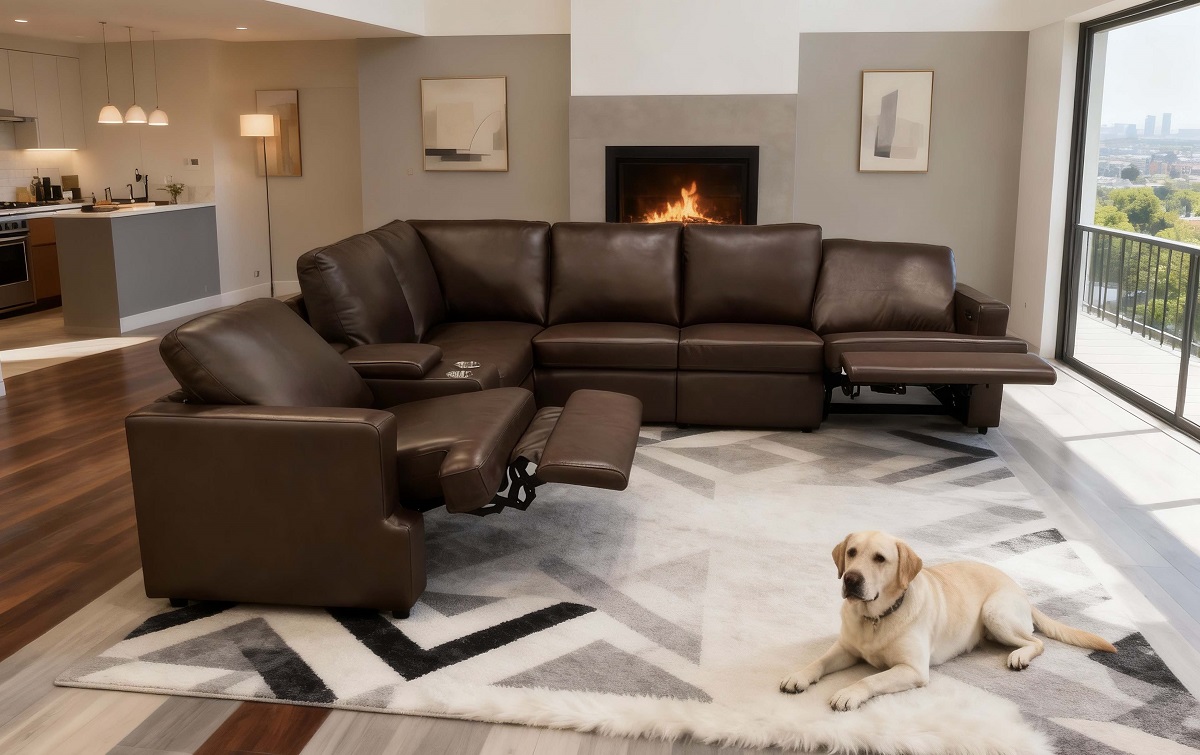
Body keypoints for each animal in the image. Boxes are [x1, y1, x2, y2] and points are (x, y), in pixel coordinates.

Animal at [779, 530, 1117, 711]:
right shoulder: (846, 648)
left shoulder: (913, 669)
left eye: (880, 559)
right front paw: (798, 676)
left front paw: (848, 692)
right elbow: (819, 661)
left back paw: (1019, 655)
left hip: (995, 613)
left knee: (1036, 641)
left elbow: (869, 679)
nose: (850, 579)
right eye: (851, 552)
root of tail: (1020, 590)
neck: (875, 618)